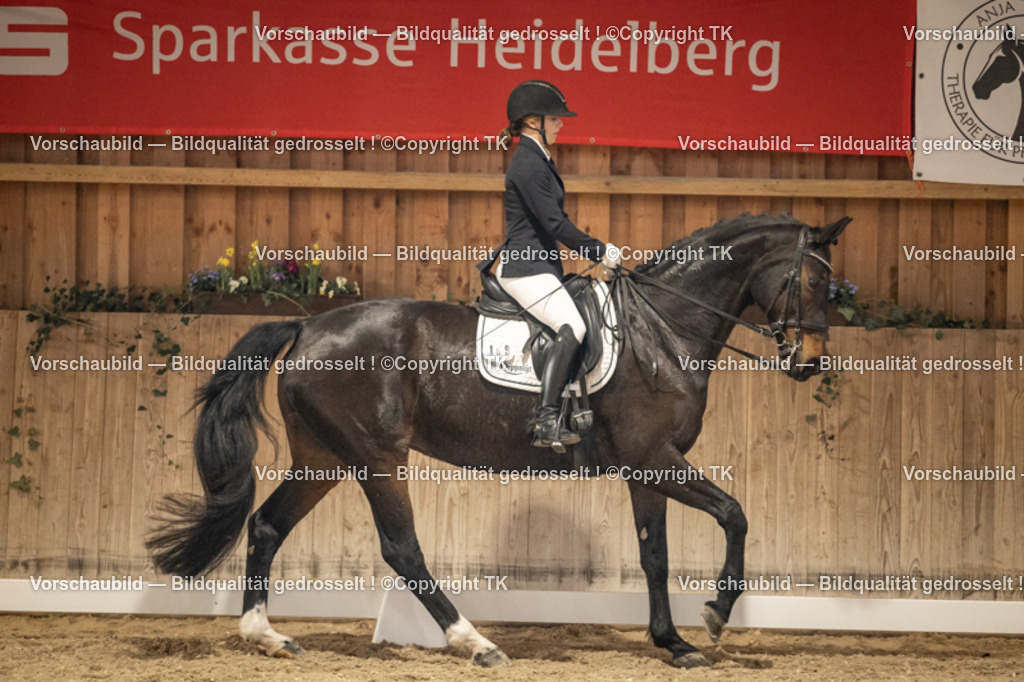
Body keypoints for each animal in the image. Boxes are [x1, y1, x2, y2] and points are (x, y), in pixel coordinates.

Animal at [147, 212, 849, 669]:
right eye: (815, 283)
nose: (810, 360)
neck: (663, 329)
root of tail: (308, 324)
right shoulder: (657, 458)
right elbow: (735, 514)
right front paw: (717, 615)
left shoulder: (643, 467)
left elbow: (655, 554)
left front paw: (672, 643)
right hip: (377, 458)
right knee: (402, 549)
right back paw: (474, 642)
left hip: (325, 457)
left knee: (267, 525)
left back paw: (265, 635)